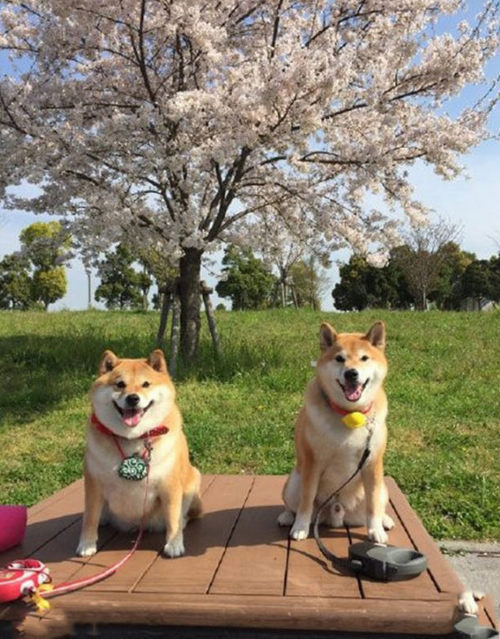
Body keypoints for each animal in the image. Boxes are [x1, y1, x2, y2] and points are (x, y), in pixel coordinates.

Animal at [76, 350, 201, 560]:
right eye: (120, 384)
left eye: (146, 384)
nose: (133, 398)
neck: (132, 438)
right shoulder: (94, 484)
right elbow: (90, 518)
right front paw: (86, 544)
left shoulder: (170, 486)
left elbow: (172, 518)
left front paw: (174, 544)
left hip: (193, 481)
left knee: (182, 515)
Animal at [278, 322, 394, 544]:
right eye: (339, 358)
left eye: (364, 358)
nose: (351, 373)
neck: (349, 414)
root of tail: (337, 512)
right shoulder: (313, 462)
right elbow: (306, 499)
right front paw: (301, 527)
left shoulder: (372, 463)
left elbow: (373, 503)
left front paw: (375, 530)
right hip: (293, 482)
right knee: (292, 505)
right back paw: (287, 517)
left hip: (383, 488)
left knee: (378, 503)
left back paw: (385, 519)